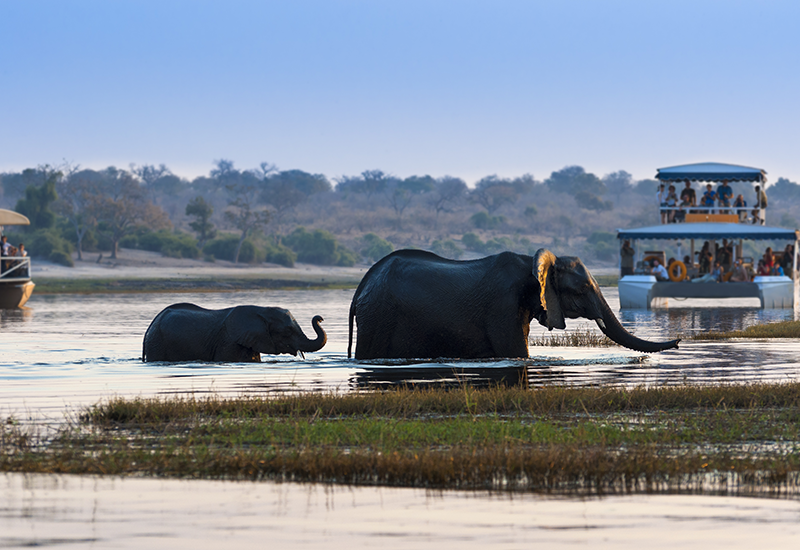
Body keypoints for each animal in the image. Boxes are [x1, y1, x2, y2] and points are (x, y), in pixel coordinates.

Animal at [348, 249, 679, 360]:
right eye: (583, 288)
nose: (678, 341)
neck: (532, 263)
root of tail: (363, 284)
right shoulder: (502, 306)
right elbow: (518, 353)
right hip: (378, 315)